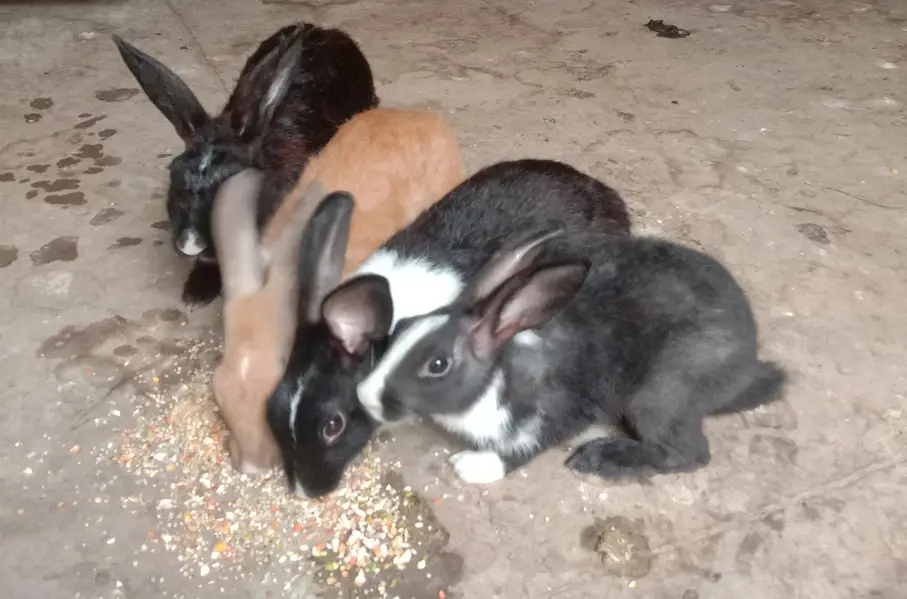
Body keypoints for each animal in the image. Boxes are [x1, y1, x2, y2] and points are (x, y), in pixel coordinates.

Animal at [349, 229, 788, 485]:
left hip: (659, 396)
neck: (498, 380)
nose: (365, 395)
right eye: (402, 328)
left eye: (437, 364)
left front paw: (472, 466)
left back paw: (602, 459)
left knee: (689, 453)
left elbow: (527, 447)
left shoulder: (556, 413)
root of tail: (749, 365)